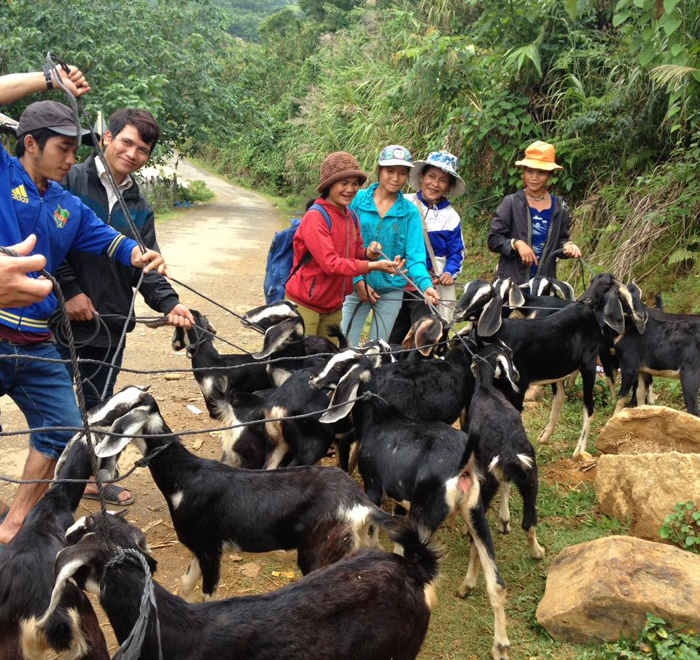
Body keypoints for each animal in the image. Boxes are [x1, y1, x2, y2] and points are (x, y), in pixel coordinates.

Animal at [95, 398, 394, 604]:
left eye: (120, 408)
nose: (90, 418)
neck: (184, 479)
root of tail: (361, 504)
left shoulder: (210, 549)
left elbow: (208, 595)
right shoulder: (198, 548)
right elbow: (185, 583)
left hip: (319, 551)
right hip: (361, 542)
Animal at [314, 354, 512, 660]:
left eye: (339, 367)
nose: (315, 380)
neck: (378, 418)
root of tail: (463, 466)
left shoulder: (374, 486)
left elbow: (372, 529)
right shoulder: (398, 498)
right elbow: (397, 537)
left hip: (426, 514)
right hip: (475, 512)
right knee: (497, 583)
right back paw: (499, 644)